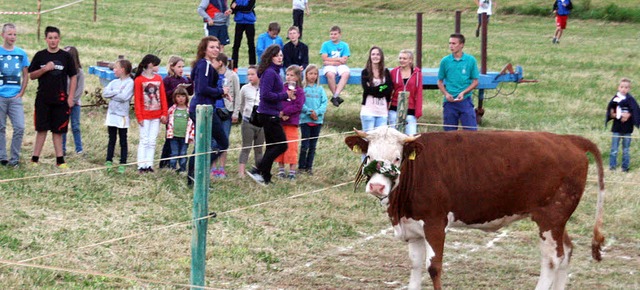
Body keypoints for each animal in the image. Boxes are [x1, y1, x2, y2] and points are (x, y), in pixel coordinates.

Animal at [344, 127, 604, 290]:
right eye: (369, 156)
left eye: (397, 158)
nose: (377, 186)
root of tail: (568, 140)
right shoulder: (413, 227)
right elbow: (416, 266)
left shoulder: (435, 223)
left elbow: (434, 267)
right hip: (558, 220)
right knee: (566, 251)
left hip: (551, 217)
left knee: (552, 259)